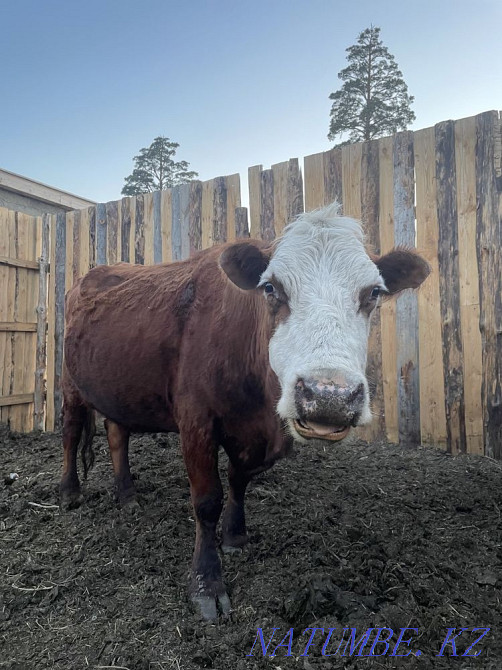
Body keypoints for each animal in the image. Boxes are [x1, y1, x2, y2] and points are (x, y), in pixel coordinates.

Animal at [60, 202, 429, 620]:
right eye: (271, 288)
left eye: (374, 293)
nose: (328, 395)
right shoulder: (196, 423)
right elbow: (207, 501)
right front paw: (206, 582)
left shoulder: (257, 437)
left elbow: (239, 480)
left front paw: (235, 534)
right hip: (70, 383)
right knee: (71, 432)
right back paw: (69, 491)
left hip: (118, 386)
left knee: (117, 435)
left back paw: (127, 496)